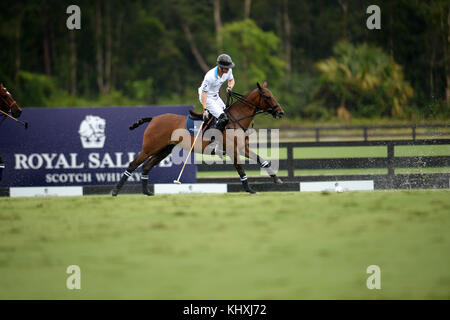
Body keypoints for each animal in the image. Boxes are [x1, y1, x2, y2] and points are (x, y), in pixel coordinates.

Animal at [112, 81, 284, 196]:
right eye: (267, 97)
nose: (281, 112)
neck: (236, 119)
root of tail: (153, 118)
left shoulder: (242, 148)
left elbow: (262, 160)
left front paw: (276, 179)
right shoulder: (232, 150)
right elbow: (240, 169)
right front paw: (249, 189)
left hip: (164, 150)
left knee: (146, 167)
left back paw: (147, 192)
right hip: (150, 148)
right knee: (133, 165)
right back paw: (115, 191)